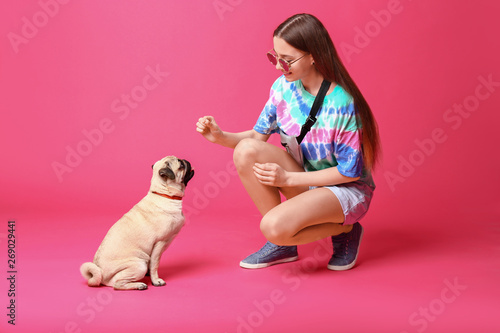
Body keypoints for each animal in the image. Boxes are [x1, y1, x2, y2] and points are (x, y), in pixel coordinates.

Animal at [80, 155, 193, 288]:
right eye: (181, 165)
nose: (185, 160)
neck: (164, 193)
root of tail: (101, 273)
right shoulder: (159, 244)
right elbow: (155, 265)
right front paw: (156, 280)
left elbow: (151, 265)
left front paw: (150, 276)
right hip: (139, 264)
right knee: (117, 284)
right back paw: (139, 285)